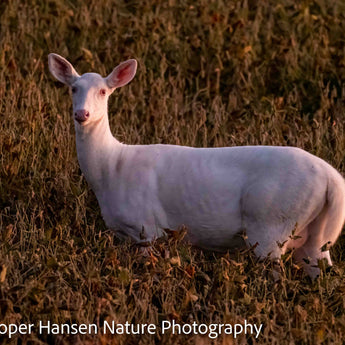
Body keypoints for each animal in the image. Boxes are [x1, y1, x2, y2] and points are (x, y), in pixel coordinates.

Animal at [47, 52, 344, 276]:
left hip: (273, 220)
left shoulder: (147, 227)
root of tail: (332, 179)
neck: (111, 169)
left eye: (103, 91)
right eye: (73, 88)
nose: (82, 114)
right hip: (314, 234)